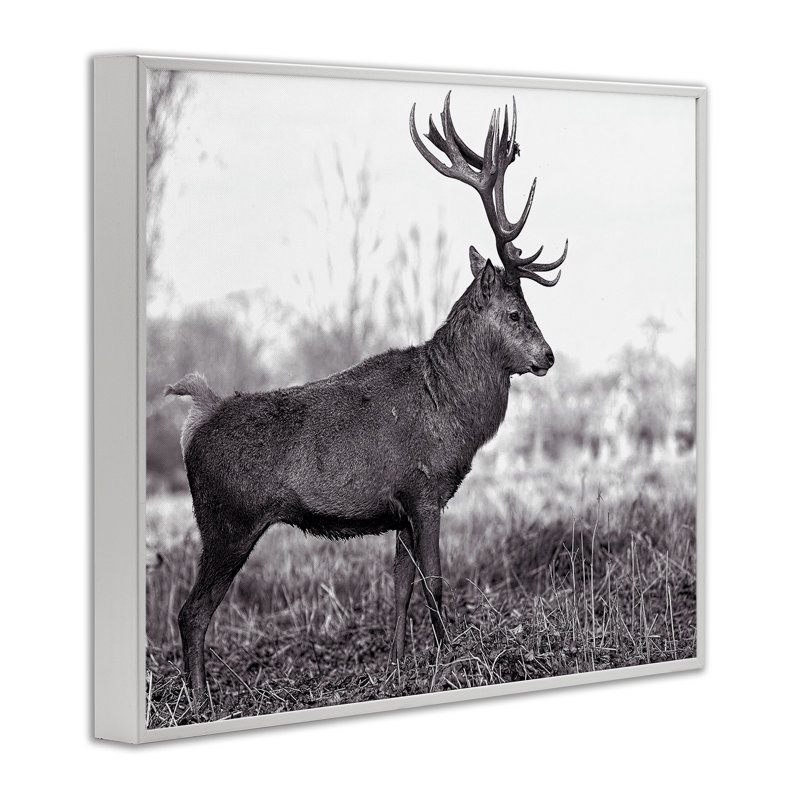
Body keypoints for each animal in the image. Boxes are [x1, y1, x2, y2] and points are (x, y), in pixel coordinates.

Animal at [166, 91, 568, 710]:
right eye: (515, 312)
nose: (547, 356)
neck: (451, 413)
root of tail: (197, 416)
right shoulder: (424, 490)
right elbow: (434, 583)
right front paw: (450, 662)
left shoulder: (399, 507)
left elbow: (399, 587)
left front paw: (399, 668)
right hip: (226, 520)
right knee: (191, 613)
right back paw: (201, 704)